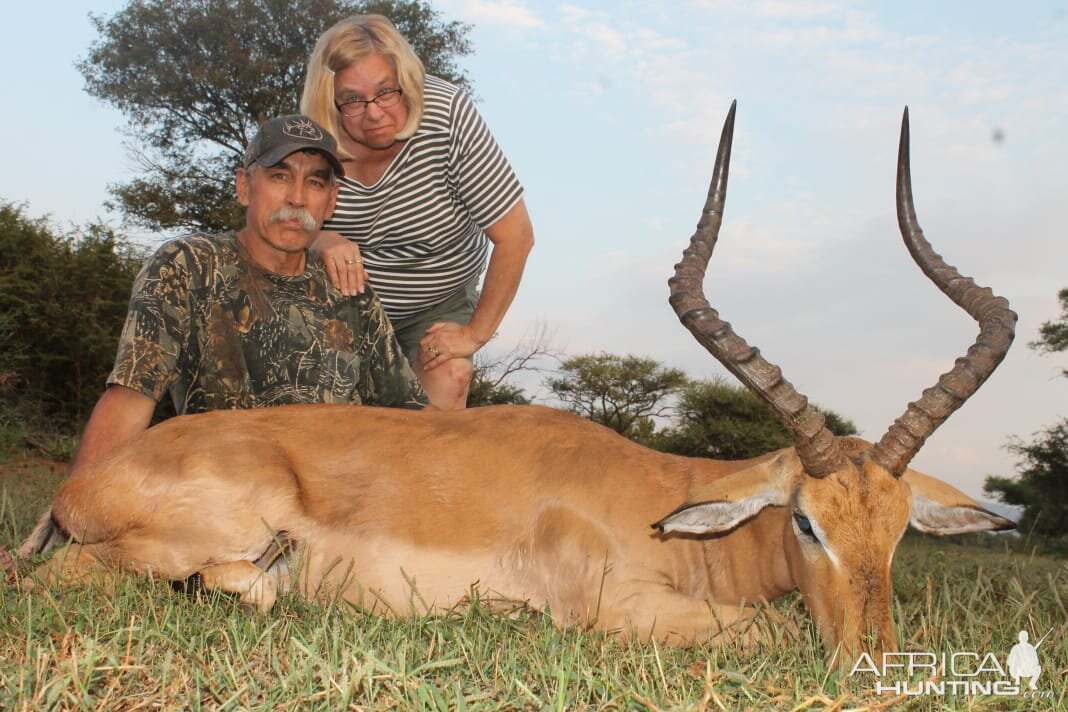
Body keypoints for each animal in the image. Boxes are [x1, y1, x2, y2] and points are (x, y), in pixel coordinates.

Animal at [29, 104, 1016, 661]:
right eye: (806, 521)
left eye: (898, 531)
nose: (873, 663)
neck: (658, 500)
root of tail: (82, 486)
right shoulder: (617, 610)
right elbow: (780, 627)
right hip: (202, 536)